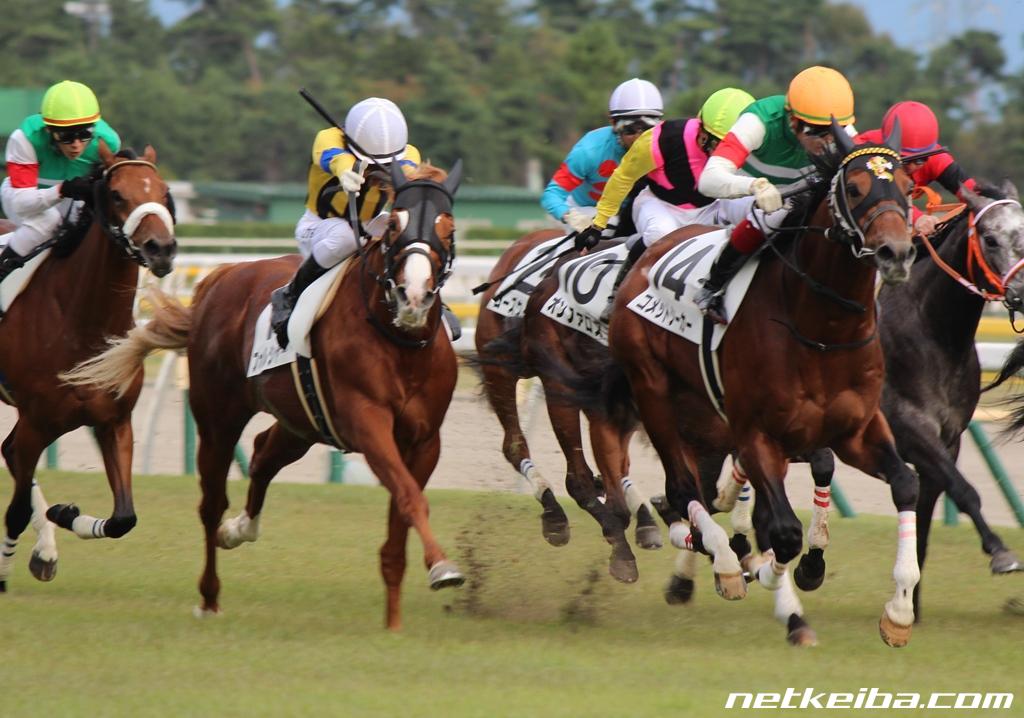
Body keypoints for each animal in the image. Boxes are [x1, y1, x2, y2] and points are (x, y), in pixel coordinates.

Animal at [0, 143, 177, 593]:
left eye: (165, 191)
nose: (161, 249)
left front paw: (64, 514)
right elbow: (15, 510)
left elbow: (124, 518)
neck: (81, 321)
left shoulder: (113, 420)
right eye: (116, 194)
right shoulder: (37, 422)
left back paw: (46, 550)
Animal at [64, 161, 464, 630]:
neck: (400, 342)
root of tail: (220, 276)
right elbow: (410, 496)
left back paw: (241, 529)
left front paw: (395, 620)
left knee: (262, 453)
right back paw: (209, 594)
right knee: (212, 502)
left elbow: (402, 513)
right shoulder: (368, 424)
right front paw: (443, 568)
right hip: (218, 418)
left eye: (448, 226)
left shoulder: (425, 440)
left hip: (302, 422)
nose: (413, 296)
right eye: (396, 224)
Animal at [582, 127, 924, 646]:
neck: (822, 330)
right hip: (653, 390)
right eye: (855, 188)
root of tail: (647, 256)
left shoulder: (856, 430)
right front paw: (771, 582)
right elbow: (781, 531)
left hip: (702, 413)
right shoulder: (758, 433)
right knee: (683, 488)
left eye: (908, 188)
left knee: (699, 489)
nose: (896, 253)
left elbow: (905, 483)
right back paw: (720, 557)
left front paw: (899, 611)